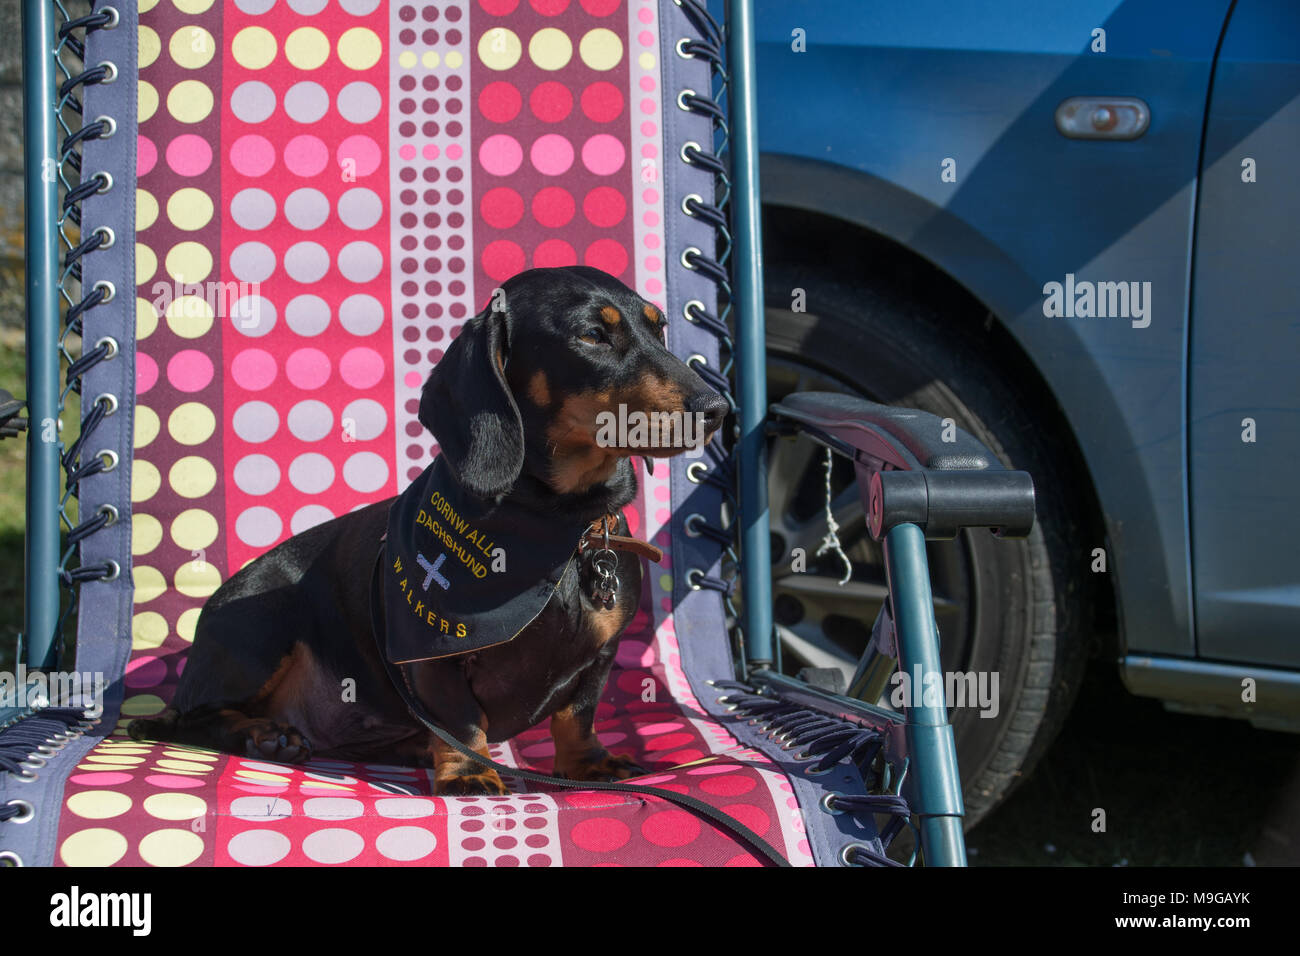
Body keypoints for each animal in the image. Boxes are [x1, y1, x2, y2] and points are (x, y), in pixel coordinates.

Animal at [129, 267, 733, 790]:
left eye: (659, 327)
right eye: (592, 335)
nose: (718, 409)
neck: (557, 523)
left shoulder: (599, 658)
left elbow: (577, 717)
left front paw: (588, 765)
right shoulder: (433, 655)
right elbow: (461, 722)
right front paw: (469, 772)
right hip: (259, 624)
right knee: (192, 717)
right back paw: (264, 735)